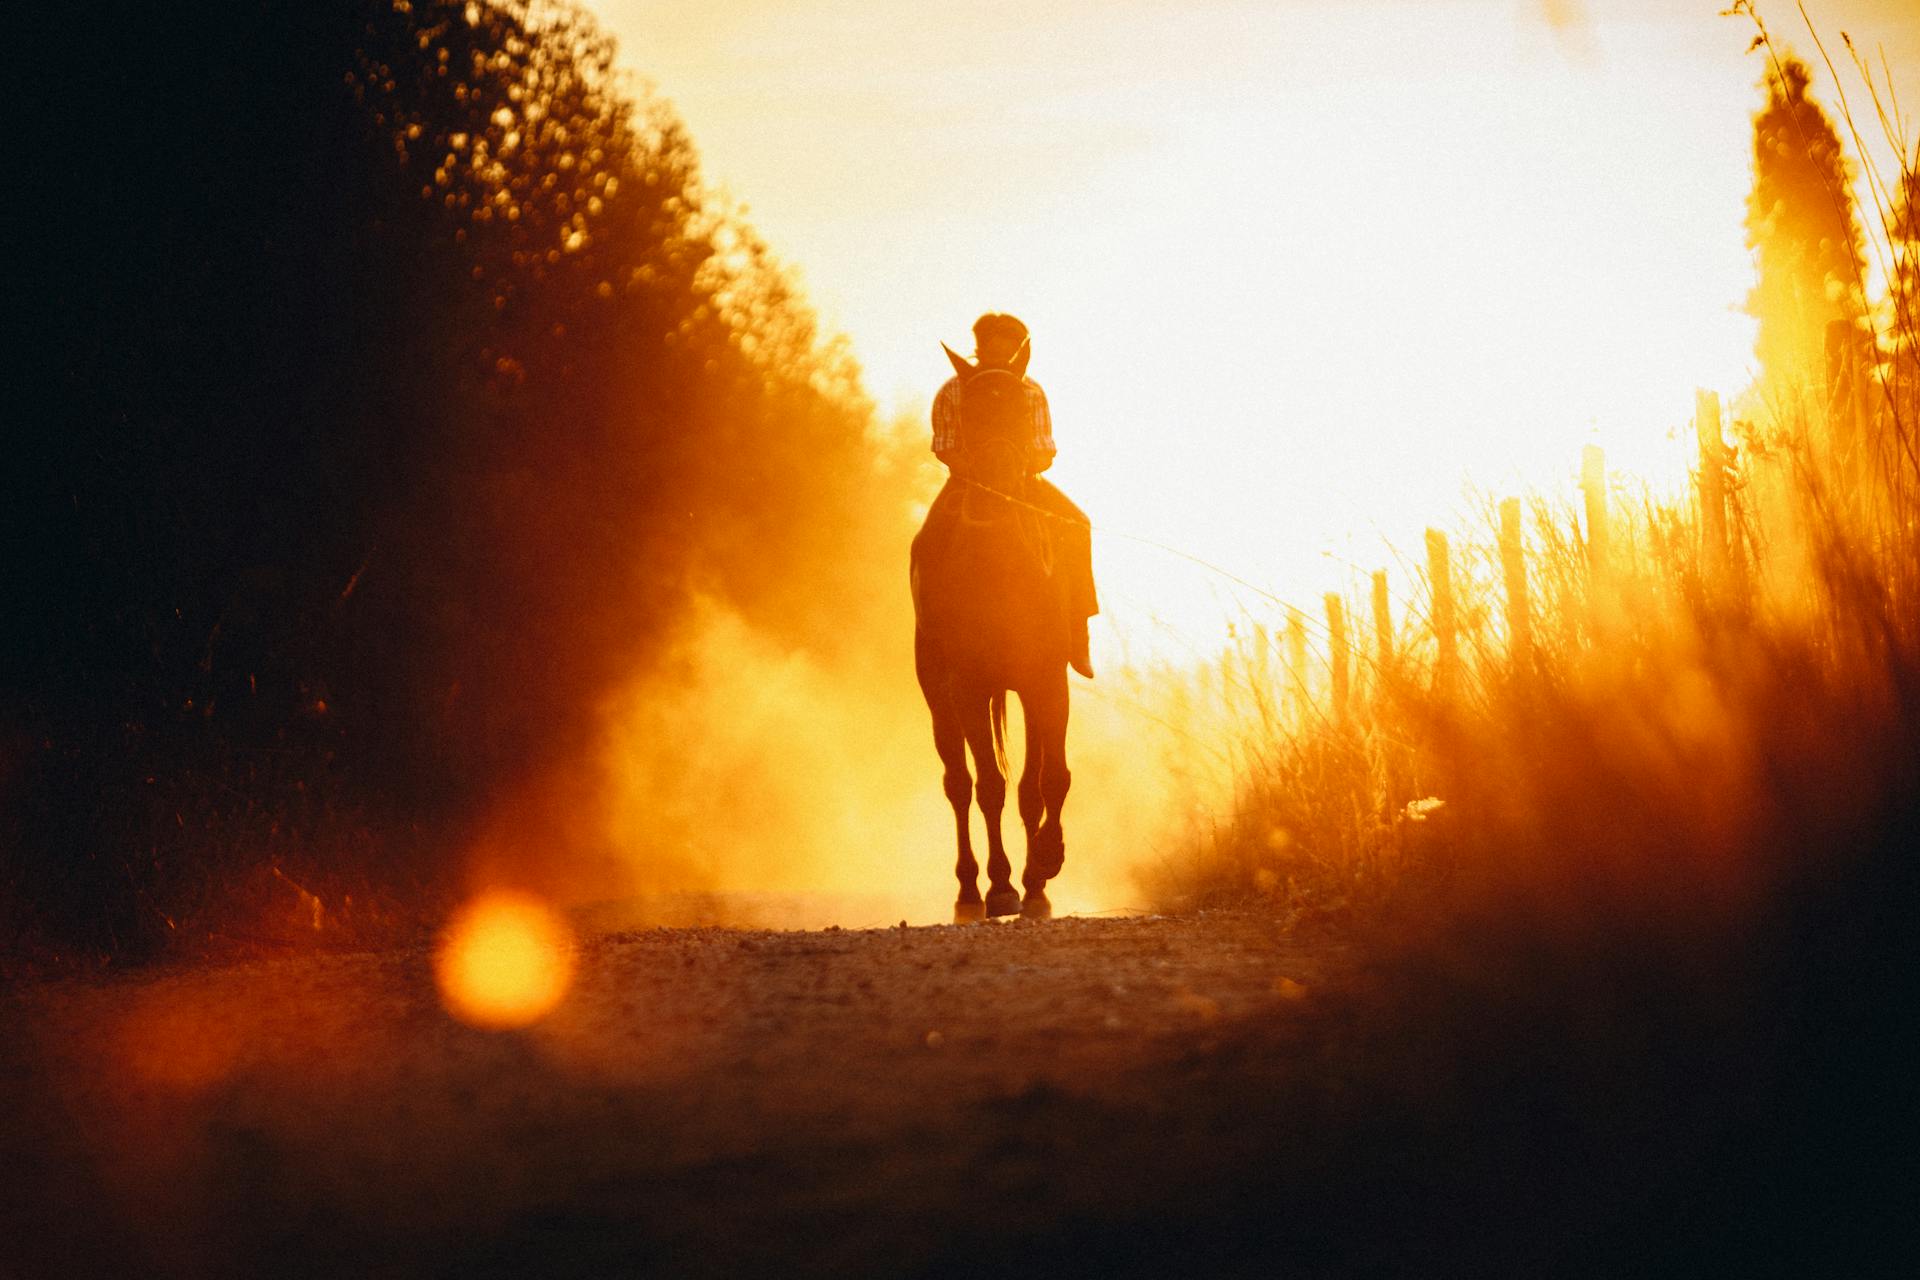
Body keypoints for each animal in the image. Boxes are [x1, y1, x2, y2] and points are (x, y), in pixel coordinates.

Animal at [910, 339, 1075, 921]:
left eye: (1021, 412)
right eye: (972, 415)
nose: (999, 483)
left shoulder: (1046, 680)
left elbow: (1047, 780)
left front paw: (1044, 868)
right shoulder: (968, 687)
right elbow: (989, 785)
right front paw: (1002, 885)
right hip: (938, 694)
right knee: (958, 784)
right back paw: (968, 888)